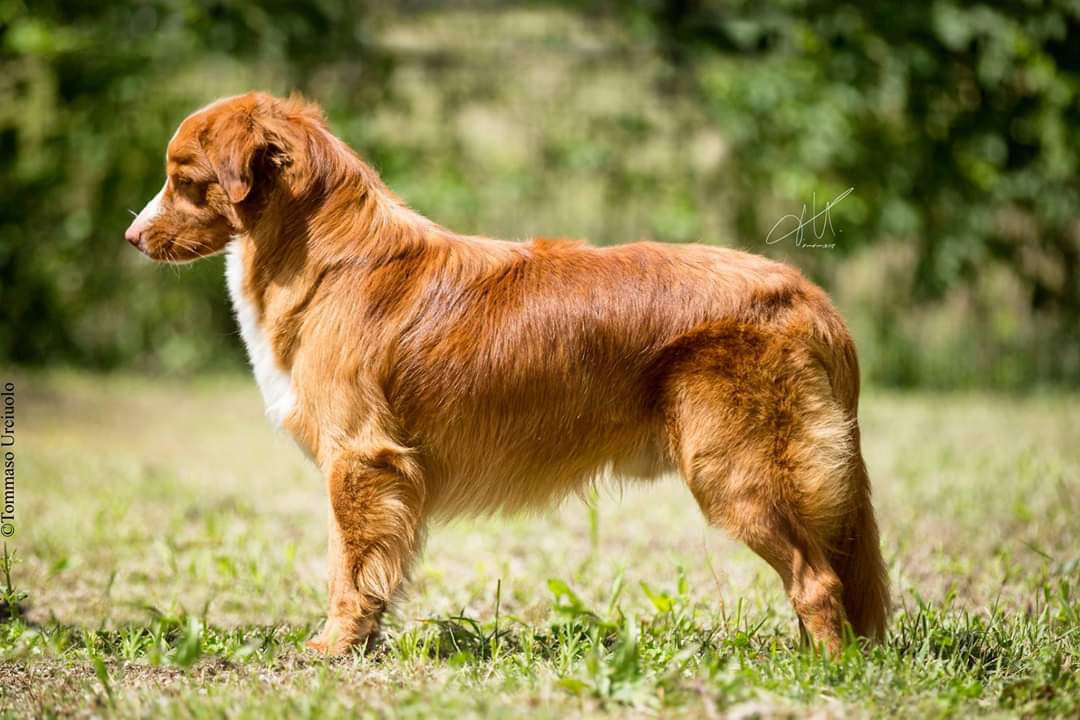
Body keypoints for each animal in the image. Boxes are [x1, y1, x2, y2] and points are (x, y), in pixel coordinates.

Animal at [124, 90, 885, 651]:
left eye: (183, 180)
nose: (131, 236)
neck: (323, 255)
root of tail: (811, 299)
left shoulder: (360, 458)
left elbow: (349, 566)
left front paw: (334, 647)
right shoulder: (376, 471)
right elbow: (371, 567)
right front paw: (363, 642)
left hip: (734, 470)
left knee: (817, 582)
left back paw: (825, 670)